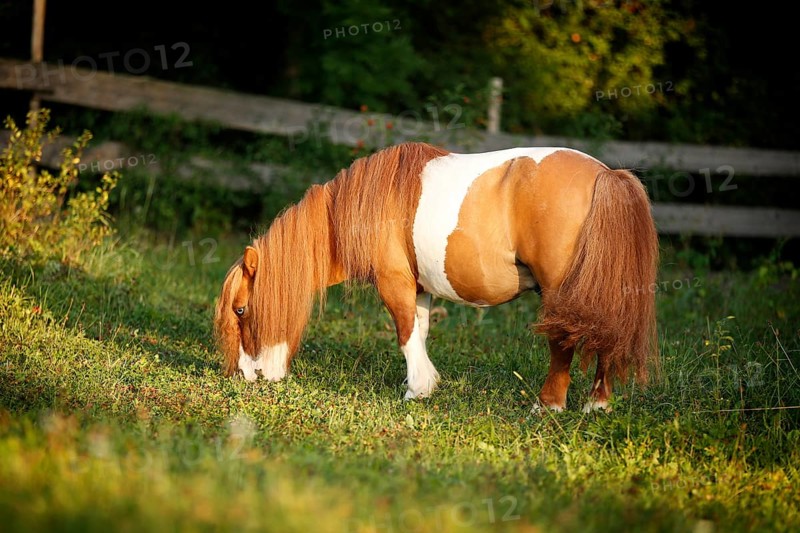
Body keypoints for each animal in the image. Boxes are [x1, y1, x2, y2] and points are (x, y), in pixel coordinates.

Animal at [214, 141, 659, 412]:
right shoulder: (420, 288)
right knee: (605, 337)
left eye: (241, 310)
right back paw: (596, 404)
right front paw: (418, 386)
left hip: (561, 293)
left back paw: (548, 404)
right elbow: (421, 332)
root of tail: (606, 175)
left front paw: (417, 389)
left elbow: (405, 333)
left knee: (563, 342)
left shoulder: (394, 283)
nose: (243, 376)